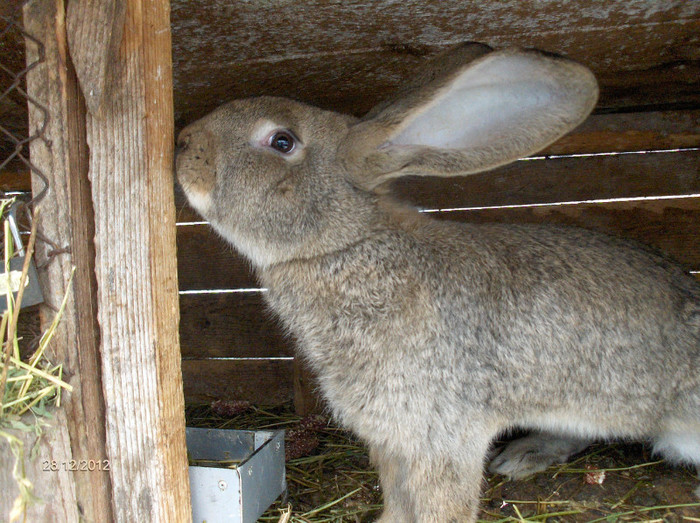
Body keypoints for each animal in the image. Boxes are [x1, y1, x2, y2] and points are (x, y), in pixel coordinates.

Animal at [175, 43, 700, 520]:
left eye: (281, 141)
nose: (182, 143)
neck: (346, 242)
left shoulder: (443, 436)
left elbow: (438, 506)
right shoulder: (392, 442)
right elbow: (397, 500)